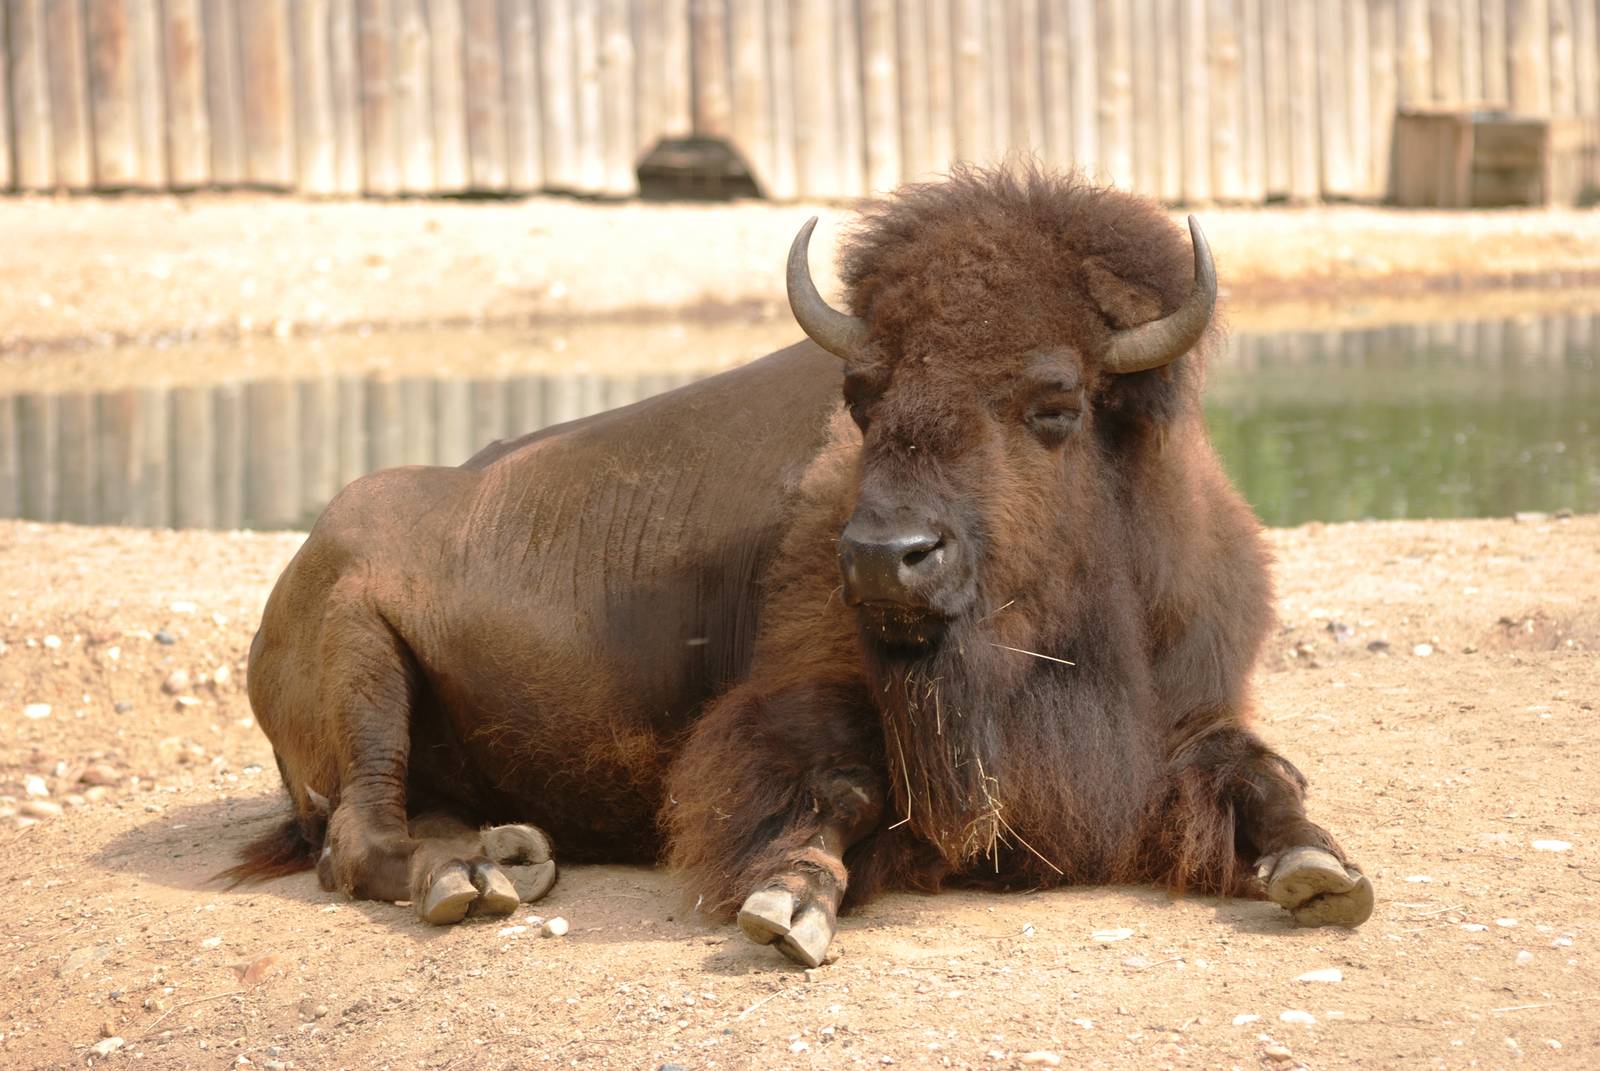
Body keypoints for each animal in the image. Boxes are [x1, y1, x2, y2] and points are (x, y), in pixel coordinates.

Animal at [232, 167, 1373, 966]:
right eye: (862, 396)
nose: (882, 559)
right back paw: (469, 878)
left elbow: (1262, 776)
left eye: (1055, 401)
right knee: (359, 833)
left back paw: (512, 848)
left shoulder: (1188, 718)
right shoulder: (792, 709)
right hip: (362, 665)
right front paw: (789, 902)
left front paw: (1322, 869)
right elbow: (838, 789)